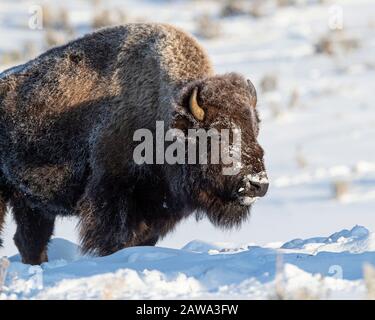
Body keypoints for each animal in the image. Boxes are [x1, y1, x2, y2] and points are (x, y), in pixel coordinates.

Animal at [0, 23, 270, 264]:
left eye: (255, 128)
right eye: (217, 134)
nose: (257, 184)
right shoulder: (112, 197)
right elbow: (115, 239)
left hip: (31, 203)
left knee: (30, 239)